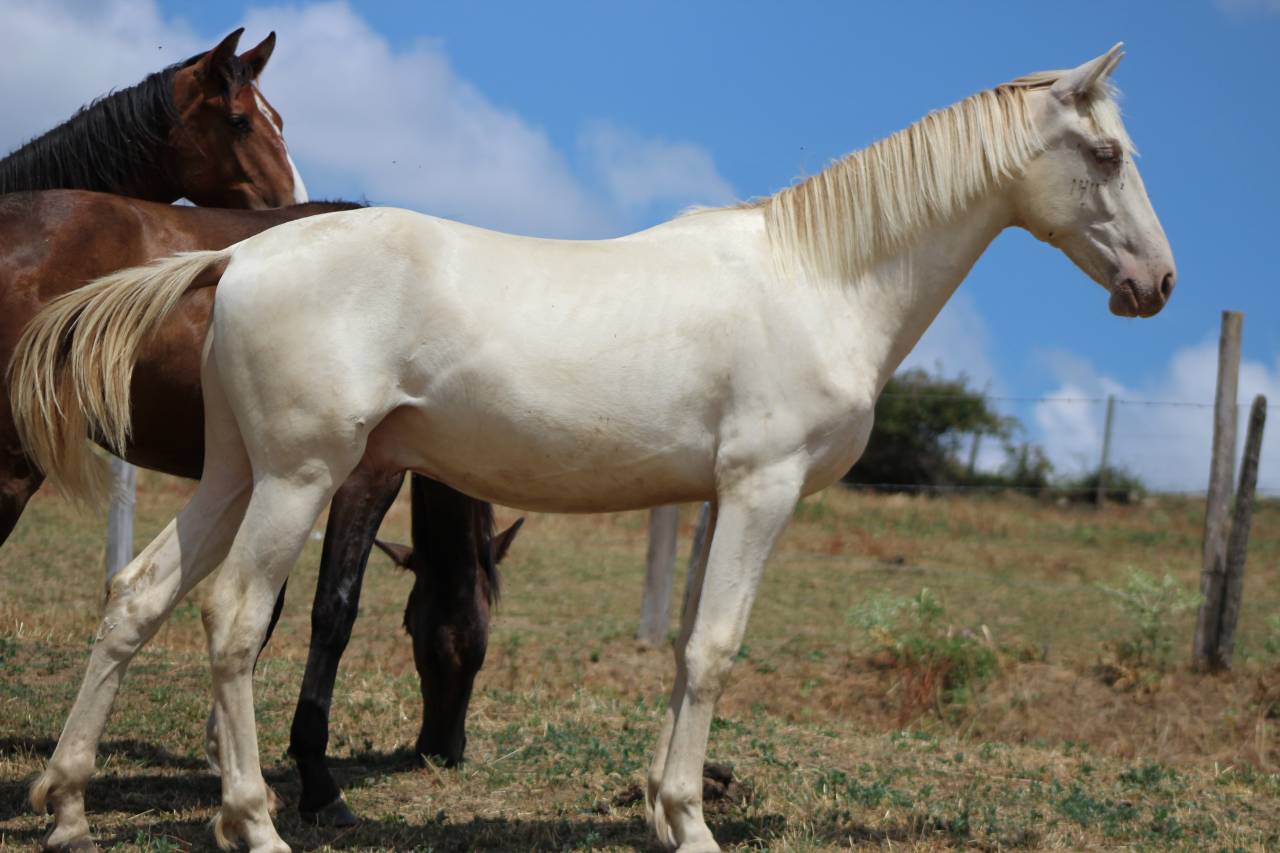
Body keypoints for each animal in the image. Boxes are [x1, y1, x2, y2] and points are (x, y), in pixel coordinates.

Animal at [13, 46, 1174, 852]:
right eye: (1106, 155)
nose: (1156, 284)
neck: (817, 277)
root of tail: (238, 260)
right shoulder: (762, 490)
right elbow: (714, 650)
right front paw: (694, 823)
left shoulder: (716, 498)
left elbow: (685, 648)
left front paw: (663, 808)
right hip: (299, 480)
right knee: (233, 619)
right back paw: (253, 819)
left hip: (236, 474)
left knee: (137, 596)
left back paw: (68, 806)